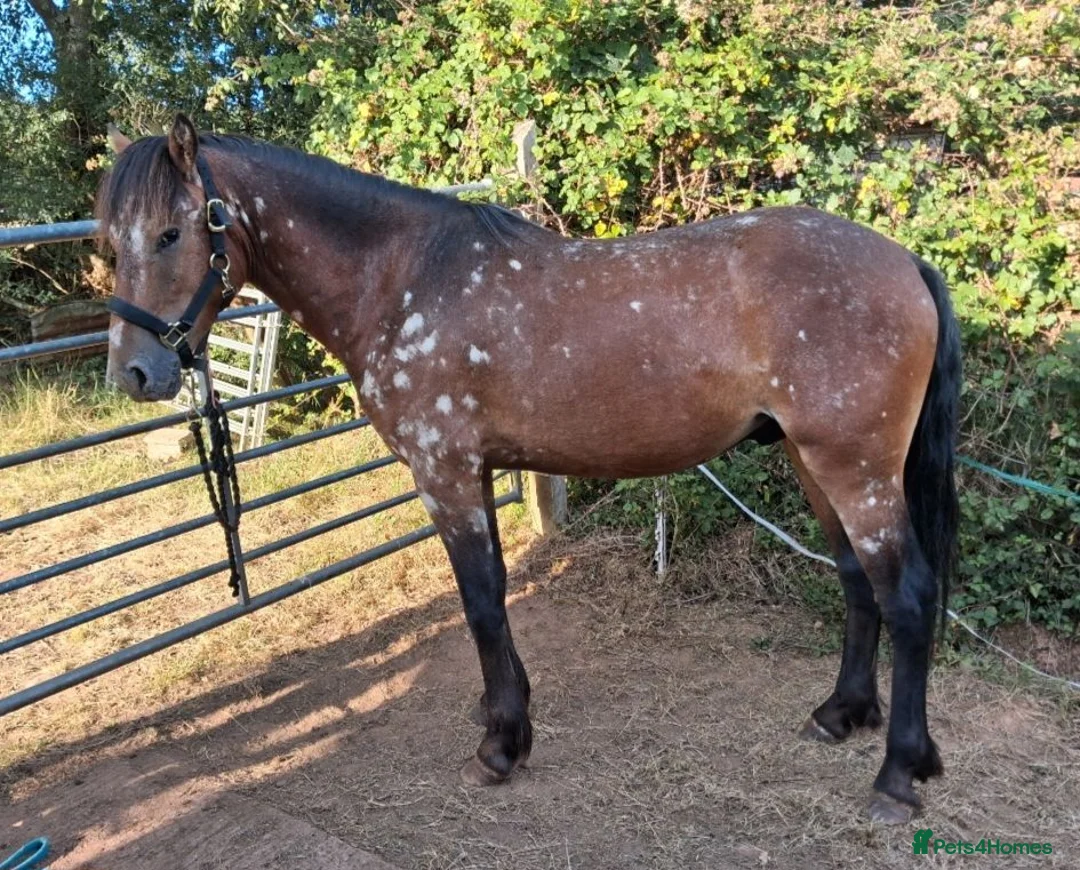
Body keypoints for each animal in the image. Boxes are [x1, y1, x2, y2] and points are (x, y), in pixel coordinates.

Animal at [97, 115, 960, 825]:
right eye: (112, 240)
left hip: (855, 467)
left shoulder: (443, 472)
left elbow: (480, 600)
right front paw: (507, 719)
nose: (136, 374)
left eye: (171, 233)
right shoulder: (474, 471)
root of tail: (907, 263)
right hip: (820, 464)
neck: (402, 277)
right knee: (856, 582)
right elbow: (498, 594)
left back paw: (897, 777)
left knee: (908, 596)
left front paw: (500, 748)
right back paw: (841, 714)